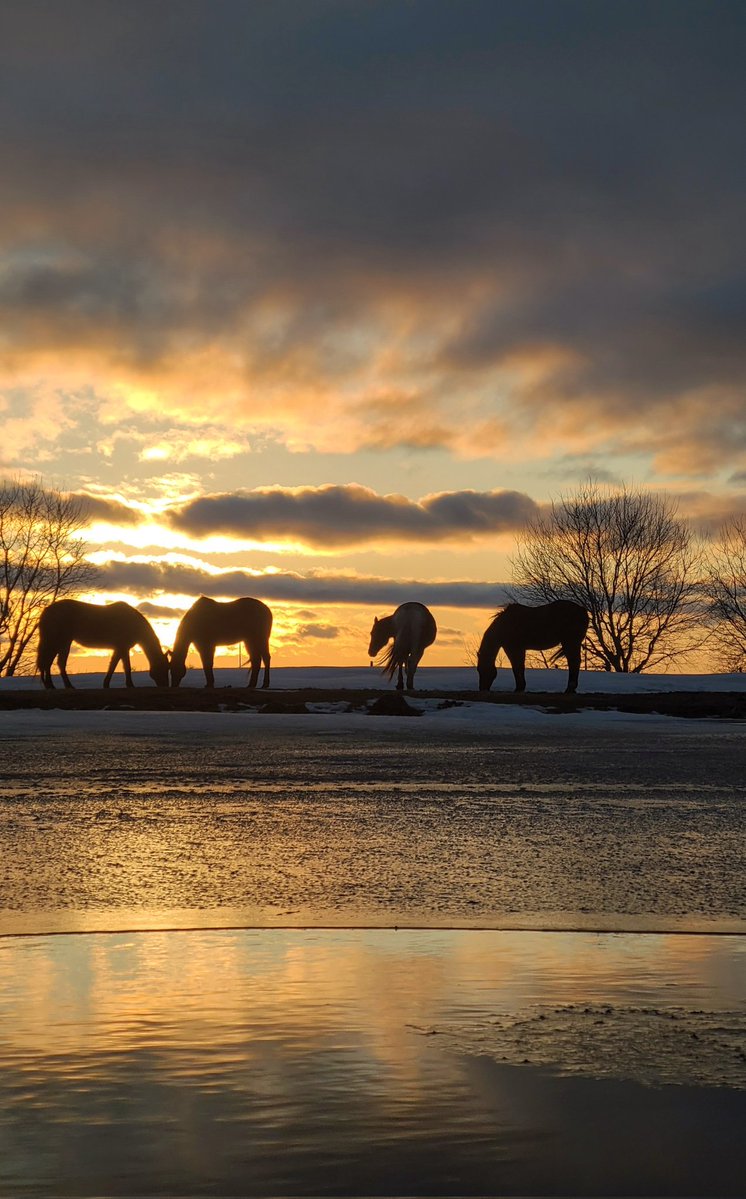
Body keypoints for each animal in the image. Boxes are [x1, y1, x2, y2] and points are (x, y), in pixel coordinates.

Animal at [37, 599, 170, 689]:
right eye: (164, 668)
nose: (165, 686)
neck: (133, 623)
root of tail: (47, 611)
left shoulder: (120, 648)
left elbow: (115, 665)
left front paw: (108, 684)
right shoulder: (123, 647)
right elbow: (123, 666)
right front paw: (128, 685)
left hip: (60, 642)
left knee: (49, 662)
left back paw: (50, 685)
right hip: (59, 641)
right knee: (53, 662)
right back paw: (64, 686)